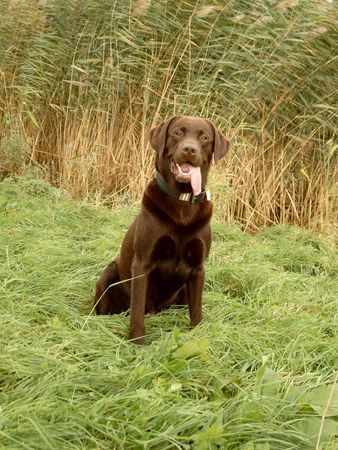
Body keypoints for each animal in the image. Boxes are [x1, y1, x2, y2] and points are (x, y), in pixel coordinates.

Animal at [93, 114, 228, 342]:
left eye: (204, 137)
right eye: (178, 133)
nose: (189, 149)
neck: (182, 202)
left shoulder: (198, 268)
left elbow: (196, 310)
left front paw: (197, 335)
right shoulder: (142, 263)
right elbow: (137, 311)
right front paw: (137, 342)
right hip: (107, 275)